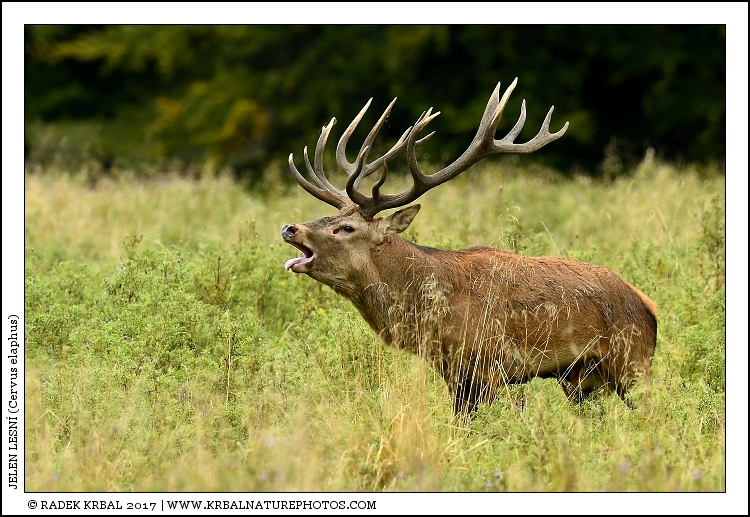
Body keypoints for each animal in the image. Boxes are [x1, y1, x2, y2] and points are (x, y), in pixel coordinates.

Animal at [281, 78, 657, 418]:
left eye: (346, 228)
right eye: (328, 215)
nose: (290, 227)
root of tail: (648, 306)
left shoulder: (487, 366)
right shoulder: (452, 371)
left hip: (632, 361)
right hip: (582, 378)